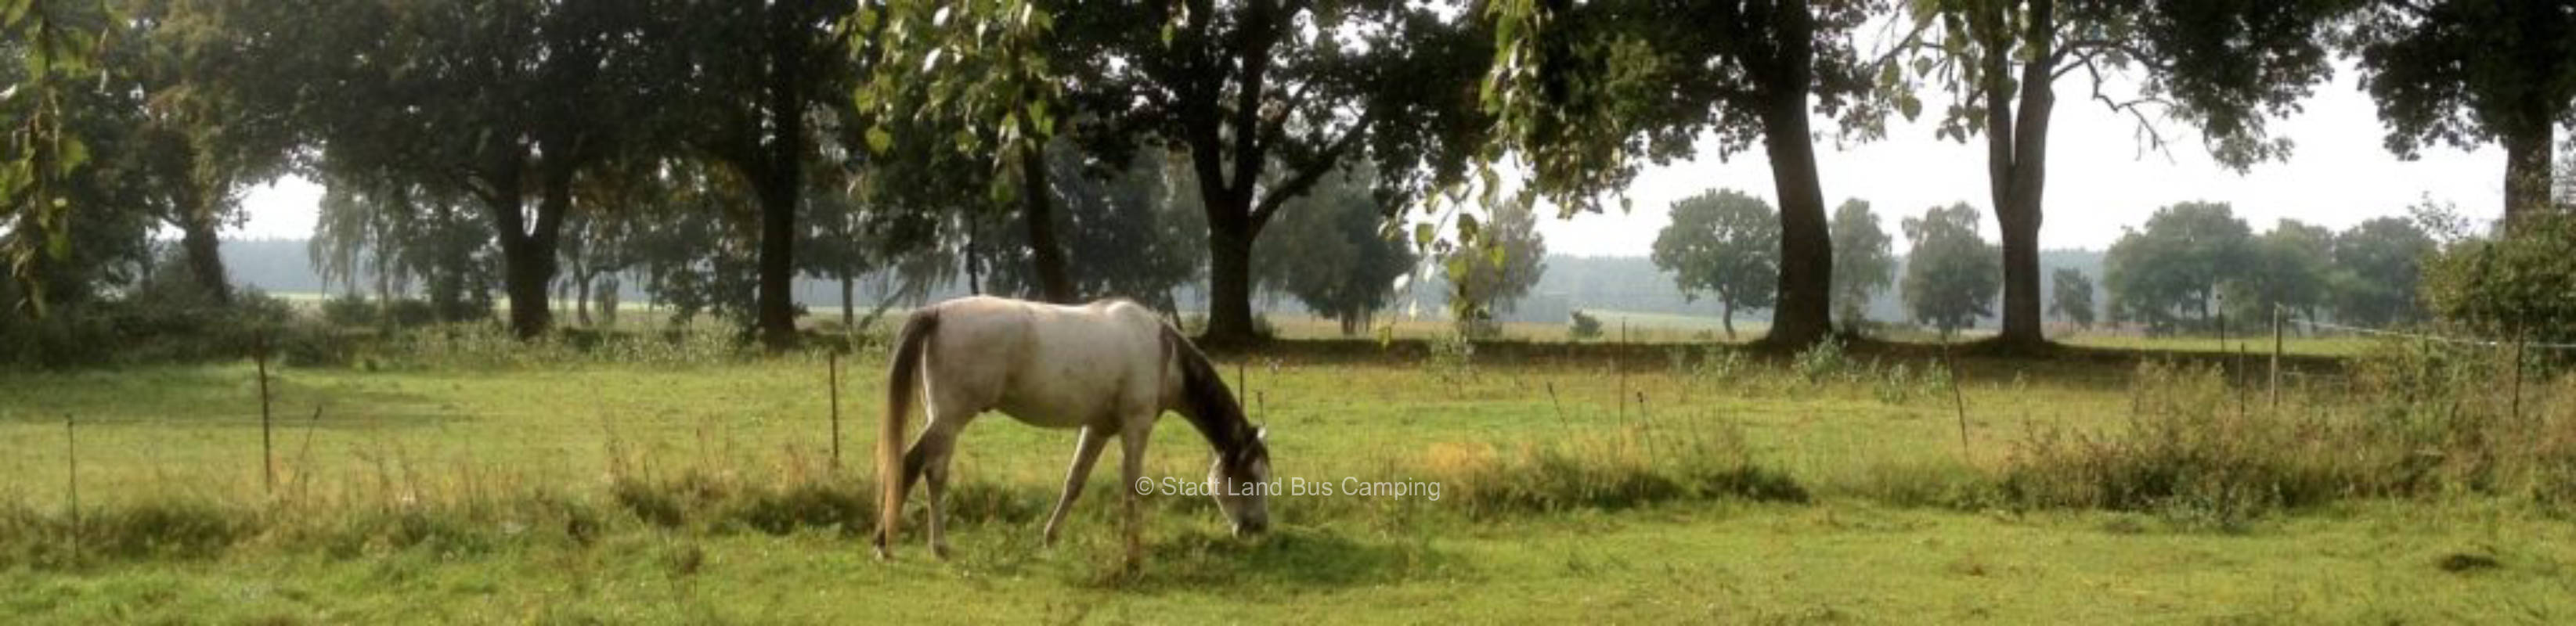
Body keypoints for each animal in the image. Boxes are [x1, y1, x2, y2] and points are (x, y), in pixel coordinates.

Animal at [871, 297, 1272, 561]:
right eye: (1251, 479)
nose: (1257, 529)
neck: (1163, 354)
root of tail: (937, 313)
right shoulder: (1135, 426)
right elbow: (1131, 488)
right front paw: (1132, 549)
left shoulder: (1097, 428)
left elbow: (1074, 483)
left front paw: (1050, 538)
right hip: (950, 418)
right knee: (916, 466)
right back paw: (904, 545)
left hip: (942, 419)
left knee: (929, 470)